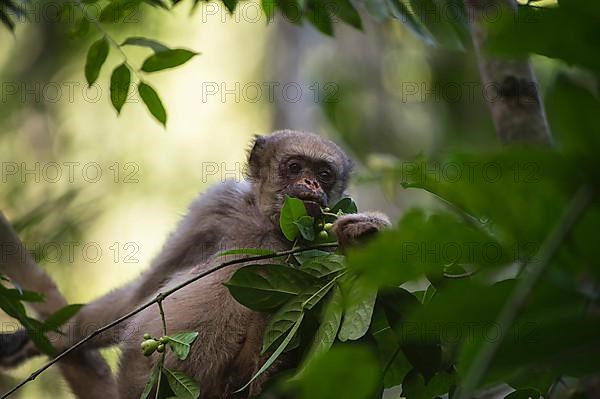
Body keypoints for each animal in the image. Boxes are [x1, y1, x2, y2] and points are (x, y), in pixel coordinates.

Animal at [0, 130, 392, 396]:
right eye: (294, 167)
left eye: (324, 174)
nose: (310, 183)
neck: (271, 228)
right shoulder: (216, 205)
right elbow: (138, 297)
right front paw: (32, 340)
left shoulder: (321, 251)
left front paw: (361, 238)